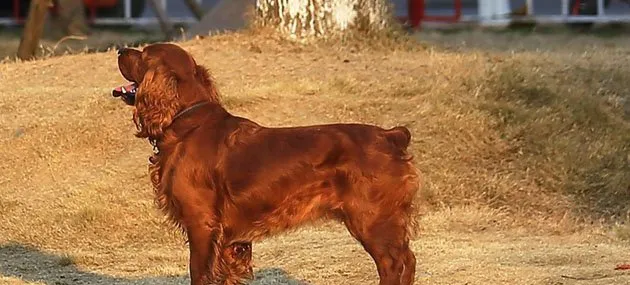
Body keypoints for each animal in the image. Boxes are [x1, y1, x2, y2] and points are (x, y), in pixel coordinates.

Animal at [113, 43, 420, 282]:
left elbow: (199, 274)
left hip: (372, 220)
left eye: (143, 53)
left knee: (395, 265)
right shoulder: (230, 242)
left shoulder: (202, 224)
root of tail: (391, 135)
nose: (119, 49)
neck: (188, 125)